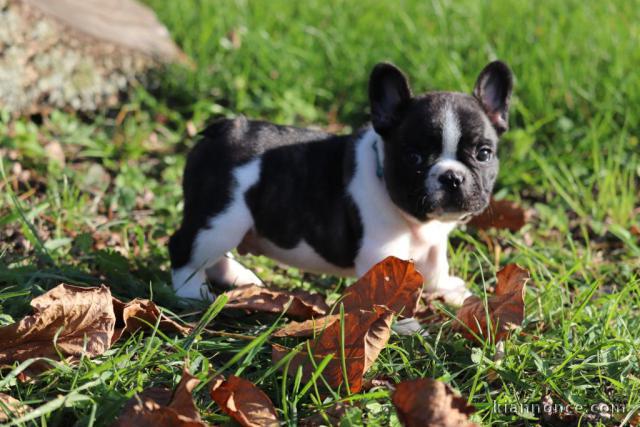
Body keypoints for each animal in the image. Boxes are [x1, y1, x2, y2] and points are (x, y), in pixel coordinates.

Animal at [170, 61, 516, 308]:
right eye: (414, 157)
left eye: (483, 154)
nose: (452, 176)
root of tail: (222, 128)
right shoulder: (381, 254)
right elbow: (385, 294)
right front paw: (402, 325)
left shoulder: (434, 243)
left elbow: (435, 266)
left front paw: (449, 290)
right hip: (221, 219)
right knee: (185, 248)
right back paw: (192, 293)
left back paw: (237, 276)